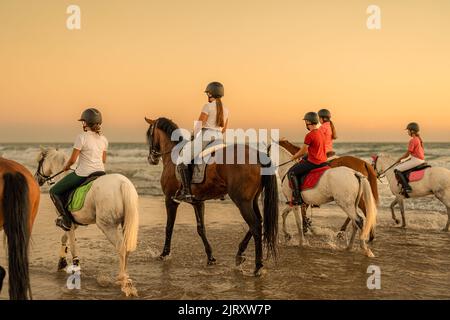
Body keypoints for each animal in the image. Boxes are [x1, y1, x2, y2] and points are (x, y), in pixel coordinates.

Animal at [34, 149, 140, 296]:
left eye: (40, 161)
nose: (37, 179)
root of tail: (122, 183)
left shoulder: (69, 224)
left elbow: (72, 245)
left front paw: (75, 266)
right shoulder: (72, 223)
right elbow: (64, 238)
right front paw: (62, 262)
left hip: (107, 226)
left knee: (121, 247)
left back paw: (122, 279)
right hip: (126, 223)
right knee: (126, 248)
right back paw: (126, 277)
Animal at [144, 117, 278, 276]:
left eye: (149, 134)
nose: (151, 159)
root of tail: (257, 154)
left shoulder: (170, 200)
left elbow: (169, 226)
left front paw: (164, 254)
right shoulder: (198, 202)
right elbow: (201, 229)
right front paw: (210, 257)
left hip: (242, 202)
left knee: (255, 225)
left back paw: (257, 266)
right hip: (253, 200)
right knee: (259, 222)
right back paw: (240, 255)